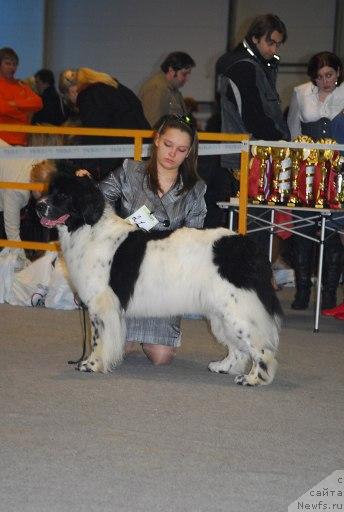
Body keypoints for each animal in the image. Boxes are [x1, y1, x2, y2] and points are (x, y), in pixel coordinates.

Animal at [35, 172, 282, 388]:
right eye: (50, 190)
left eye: (63, 195)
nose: (38, 206)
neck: (90, 228)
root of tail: (247, 246)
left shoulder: (101, 304)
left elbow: (98, 338)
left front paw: (91, 364)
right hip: (219, 312)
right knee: (238, 347)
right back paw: (223, 366)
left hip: (237, 308)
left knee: (261, 347)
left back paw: (254, 379)